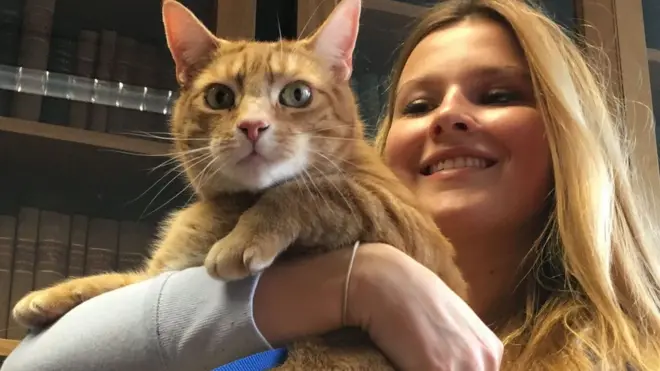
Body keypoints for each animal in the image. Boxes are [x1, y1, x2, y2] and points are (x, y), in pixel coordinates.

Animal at [12, 0, 466, 370]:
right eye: (219, 97)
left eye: (297, 94)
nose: (252, 125)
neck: (230, 205)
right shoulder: (161, 274)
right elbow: (121, 284)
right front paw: (56, 294)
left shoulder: (426, 249)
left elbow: (314, 191)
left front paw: (243, 238)